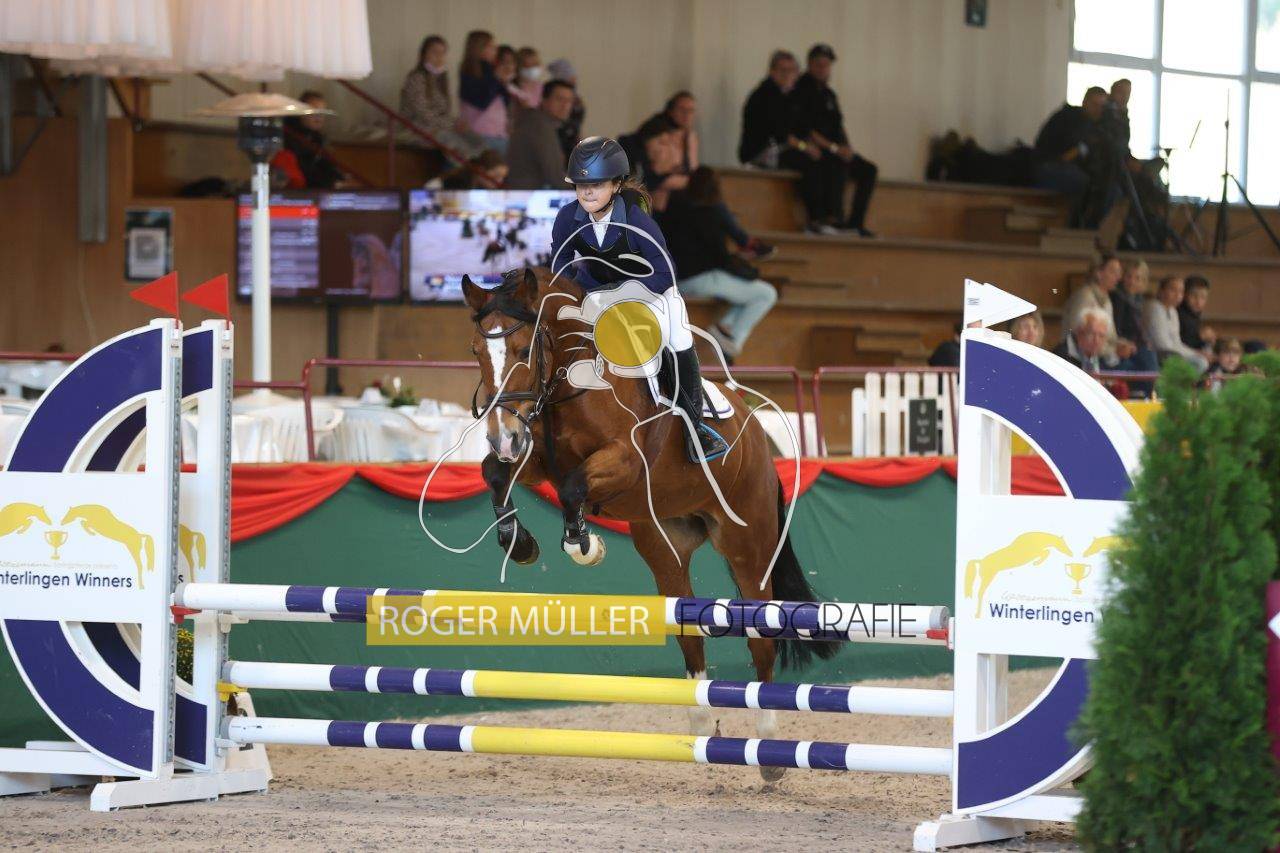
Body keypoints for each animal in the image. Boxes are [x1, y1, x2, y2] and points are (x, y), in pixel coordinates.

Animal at [462, 267, 837, 778]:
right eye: (477, 353)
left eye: (523, 351)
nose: (502, 435)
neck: (568, 384)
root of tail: (759, 435)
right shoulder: (534, 455)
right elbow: (495, 473)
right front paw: (519, 543)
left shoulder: (621, 460)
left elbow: (573, 488)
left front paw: (584, 545)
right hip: (664, 545)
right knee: (688, 631)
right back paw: (701, 727)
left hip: (748, 543)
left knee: (761, 637)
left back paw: (769, 750)